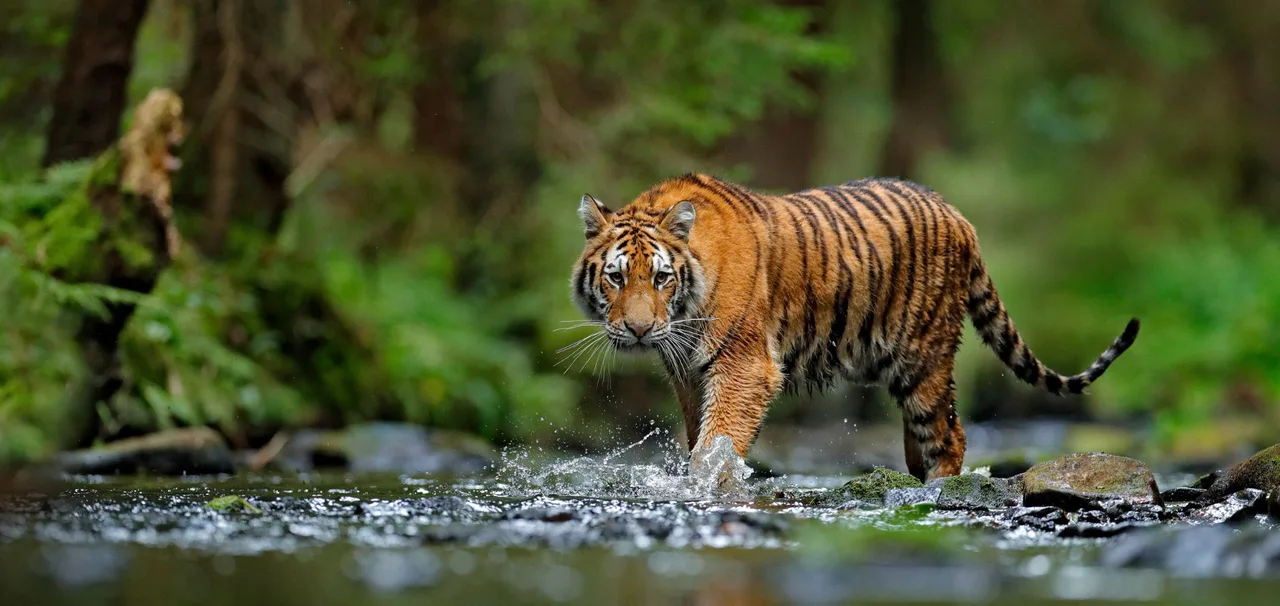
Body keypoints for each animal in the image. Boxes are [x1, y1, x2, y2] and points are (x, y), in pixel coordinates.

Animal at [569, 173, 1140, 482]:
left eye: (661, 278)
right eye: (616, 277)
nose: (639, 330)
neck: (684, 312)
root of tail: (958, 215)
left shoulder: (743, 366)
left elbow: (718, 442)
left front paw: (707, 485)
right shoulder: (688, 373)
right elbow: (698, 438)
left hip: (924, 358)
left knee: (949, 435)